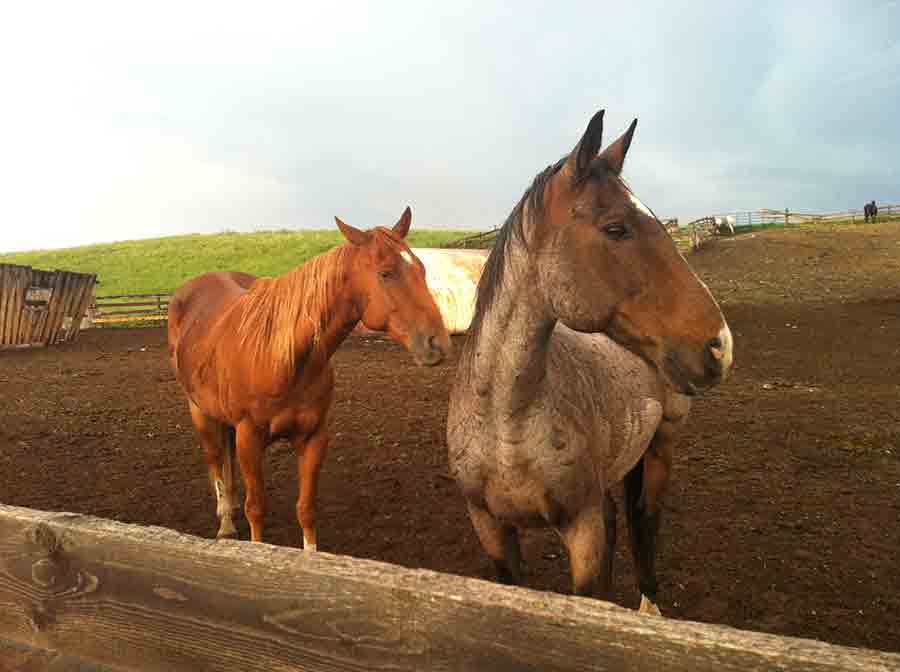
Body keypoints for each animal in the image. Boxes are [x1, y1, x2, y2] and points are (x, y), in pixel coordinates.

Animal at [168, 207, 450, 550]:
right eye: (386, 273)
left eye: (421, 269)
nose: (438, 343)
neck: (281, 357)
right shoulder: (250, 437)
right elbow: (256, 507)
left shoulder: (314, 437)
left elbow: (306, 508)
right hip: (200, 412)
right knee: (215, 462)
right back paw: (225, 523)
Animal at [447, 110, 733, 616]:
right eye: (616, 228)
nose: (720, 344)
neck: (506, 421)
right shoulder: (490, 528)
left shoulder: (582, 529)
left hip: (662, 445)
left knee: (645, 521)